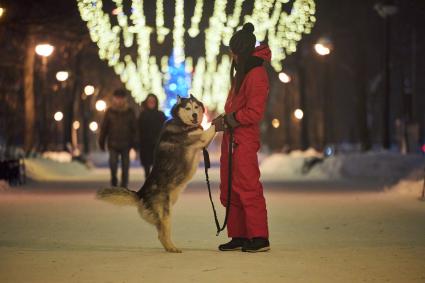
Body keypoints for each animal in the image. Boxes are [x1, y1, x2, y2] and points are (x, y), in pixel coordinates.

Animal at [96, 95, 215, 253]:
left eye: (196, 107)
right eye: (188, 108)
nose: (195, 115)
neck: (181, 122)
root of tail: (140, 194)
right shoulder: (202, 139)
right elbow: (212, 128)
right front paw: (224, 117)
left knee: (160, 234)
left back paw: (170, 248)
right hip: (166, 213)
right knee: (163, 234)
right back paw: (173, 248)